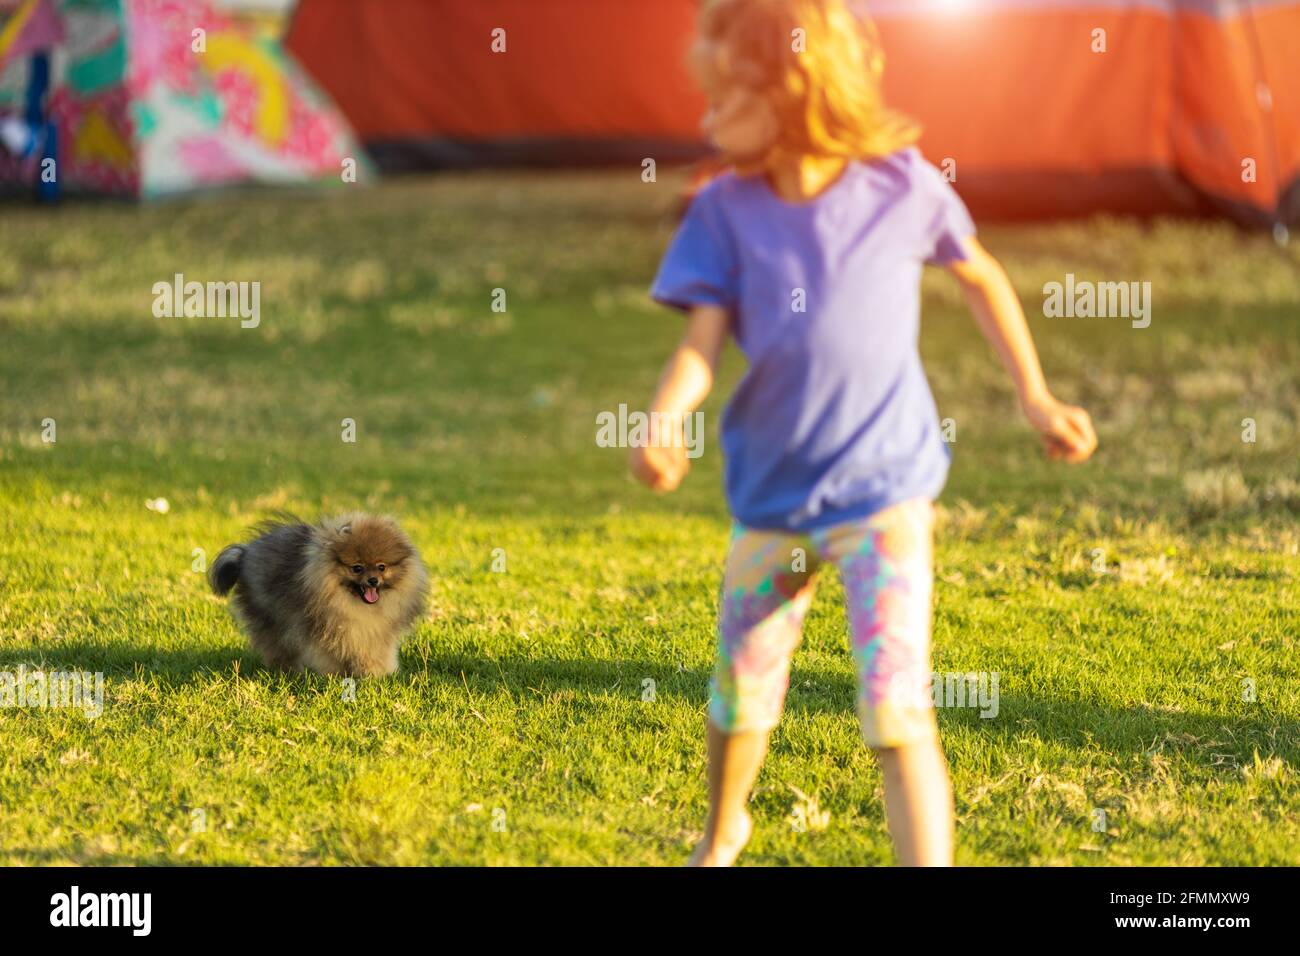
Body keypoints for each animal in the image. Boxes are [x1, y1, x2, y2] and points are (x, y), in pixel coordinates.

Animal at [208, 512, 428, 676]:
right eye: (357, 568)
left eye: (382, 567)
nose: (373, 580)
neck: (355, 605)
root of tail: (244, 555)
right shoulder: (325, 630)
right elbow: (331, 654)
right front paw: (335, 675)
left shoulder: (375, 632)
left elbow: (376, 652)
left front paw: (376, 674)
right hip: (270, 617)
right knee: (276, 645)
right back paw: (289, 670)